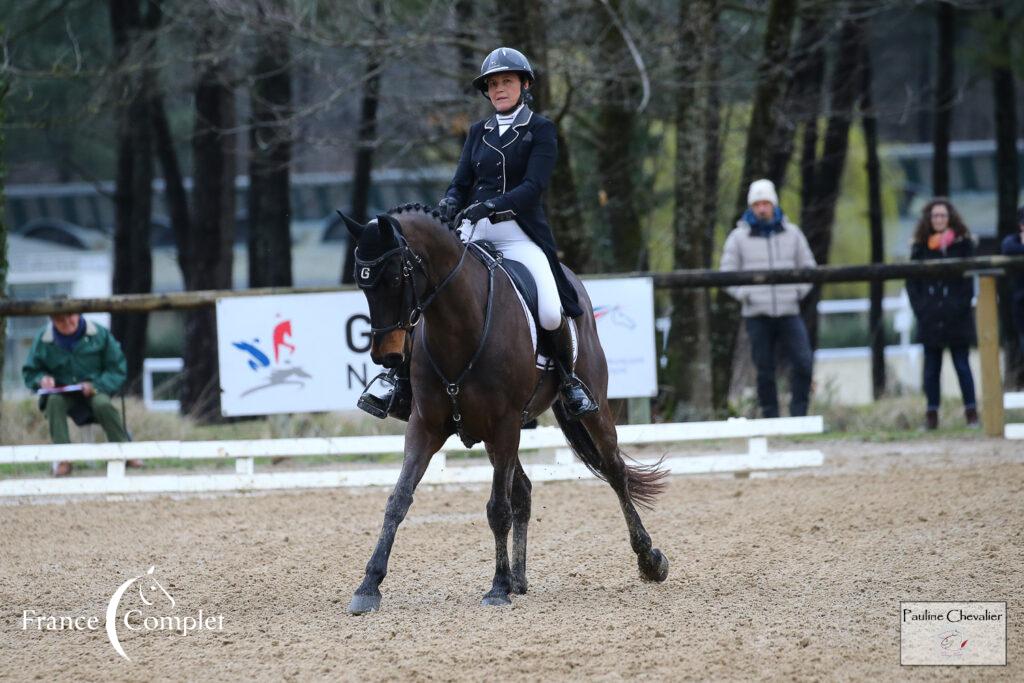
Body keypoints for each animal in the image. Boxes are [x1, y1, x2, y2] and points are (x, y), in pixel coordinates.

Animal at [339, 202, 667, 614]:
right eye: (362, 282)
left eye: (396, 277)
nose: (387, 357)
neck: (458, 325)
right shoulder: (426, 426)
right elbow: (398, 500)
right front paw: (369, 585)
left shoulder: (506, 424)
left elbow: (497, 509)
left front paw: (496, 588)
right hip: (493, 437)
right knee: (523, 490)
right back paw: (518, 579)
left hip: (582, 409)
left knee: (615, 471)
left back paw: (649, 560)